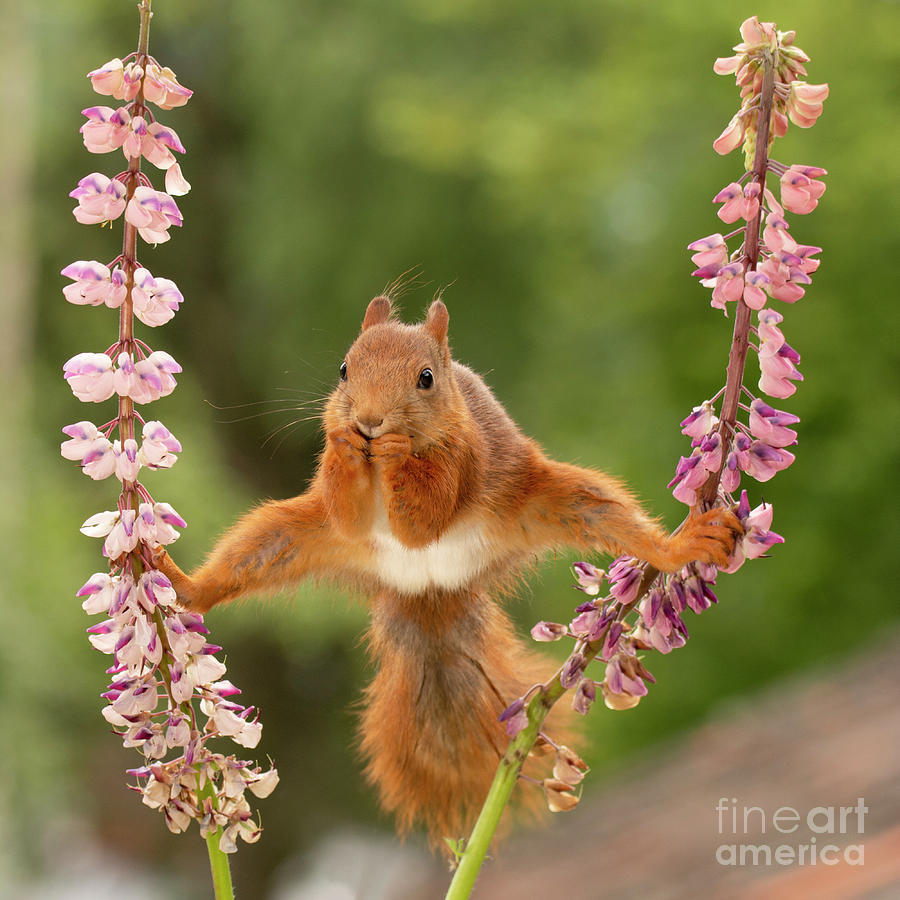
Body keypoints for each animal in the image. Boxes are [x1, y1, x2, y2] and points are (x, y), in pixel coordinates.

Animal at [153, 296, 740, 844]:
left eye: (426, 379)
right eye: (343, 369)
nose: (369, 421)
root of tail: (430, 589)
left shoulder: (465, 457)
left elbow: (425, 517)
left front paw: (394, 451)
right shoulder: (341, 512)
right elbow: (347, 511)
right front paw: (346, 443)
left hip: (553, 500)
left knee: (606, 514)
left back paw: (680, 546)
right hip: (289, 536)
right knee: (251, 554)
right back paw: (185, 586)